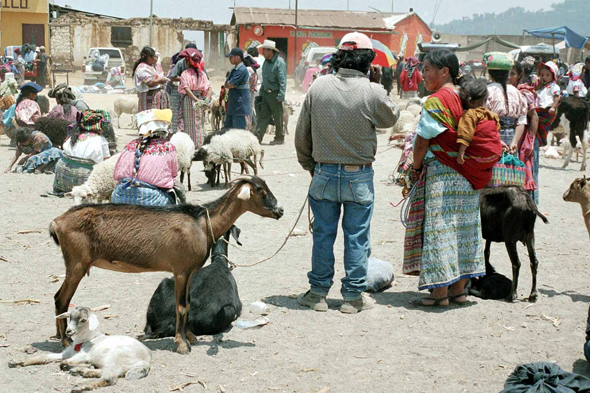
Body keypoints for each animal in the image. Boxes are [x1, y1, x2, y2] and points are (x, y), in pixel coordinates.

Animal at [8, 306, 151, 392]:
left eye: (83, 320)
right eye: (69, 317)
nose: (68, 331)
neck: (85, 340)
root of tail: (147, 361)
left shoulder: (84, 355)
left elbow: (63, 363)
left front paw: (76, 367)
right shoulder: (67, 353)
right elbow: (45, 357)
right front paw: (17, 361)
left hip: (117, 355)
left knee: (109, 377)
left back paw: (81, 384)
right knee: (108, 372)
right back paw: (82, 371)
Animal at [48, 176, 284, 354]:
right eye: (261, 191)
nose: (280, 210)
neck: (201, 223)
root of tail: (56, 222)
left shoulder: (189, 273)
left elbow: (187, 304)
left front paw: (190, 337)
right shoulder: (180, 271)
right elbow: (180, 306)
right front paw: (182, 344)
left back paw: (60, 334)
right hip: (76, 264)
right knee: (61, 298)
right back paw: (66, 341)